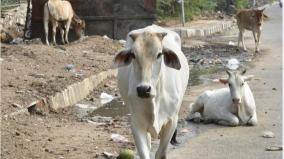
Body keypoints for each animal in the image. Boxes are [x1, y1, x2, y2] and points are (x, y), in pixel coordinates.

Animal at [113, 24, 189, 158]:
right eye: (133, 55)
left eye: (159, 54)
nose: (143, 89)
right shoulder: (136, 123)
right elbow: (145, 153)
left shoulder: (171, 121)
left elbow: (160, 153)